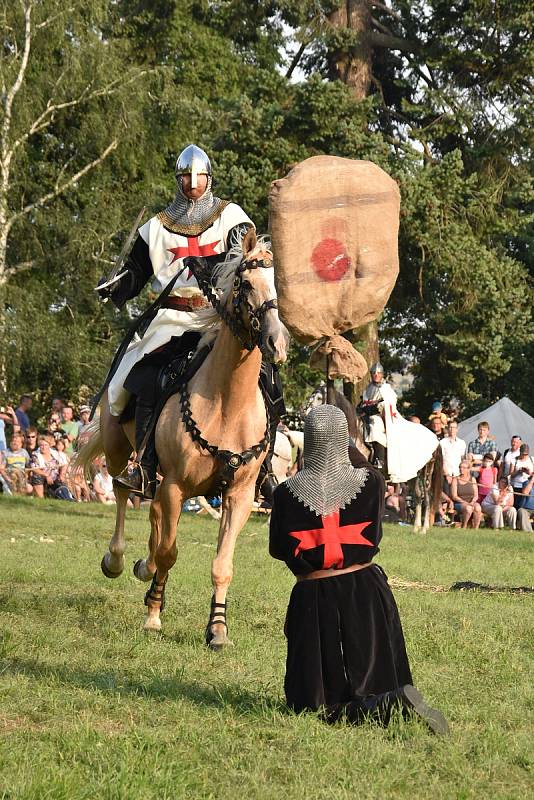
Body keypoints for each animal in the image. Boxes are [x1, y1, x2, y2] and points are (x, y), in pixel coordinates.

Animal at [75, 228, 288, 648]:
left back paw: (143, 566)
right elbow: (169, 552)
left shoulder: (238, 496)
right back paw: (118, 559)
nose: (277, 342)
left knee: (154, 515)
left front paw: (218, 629)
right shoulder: (175, 485)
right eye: (244, 283)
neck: (226, 401)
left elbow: (221, 564)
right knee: (123, 490)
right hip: (119, 446)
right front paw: (153, 615)